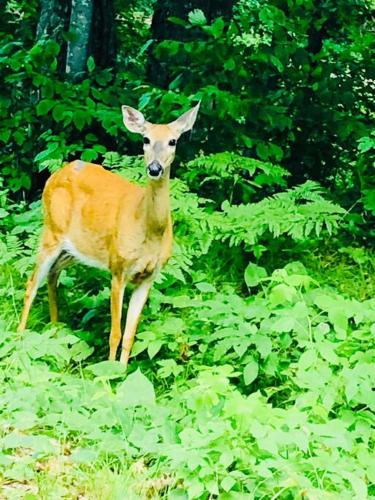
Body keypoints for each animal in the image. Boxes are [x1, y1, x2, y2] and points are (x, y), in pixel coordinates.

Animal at [17, 102, 201, 368]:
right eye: (145, 139)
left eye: (173, 141)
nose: (154, 168)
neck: (148, 231)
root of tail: (55, 175)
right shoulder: (118, 267)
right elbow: (115, 333)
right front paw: (109, 371)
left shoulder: (149, 276)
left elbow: (130, 335)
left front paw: (123, 372)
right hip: (51, 230)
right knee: (32, 283)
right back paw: (19, 339)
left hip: (75, 248)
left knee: (52, 275)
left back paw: (55, 328)